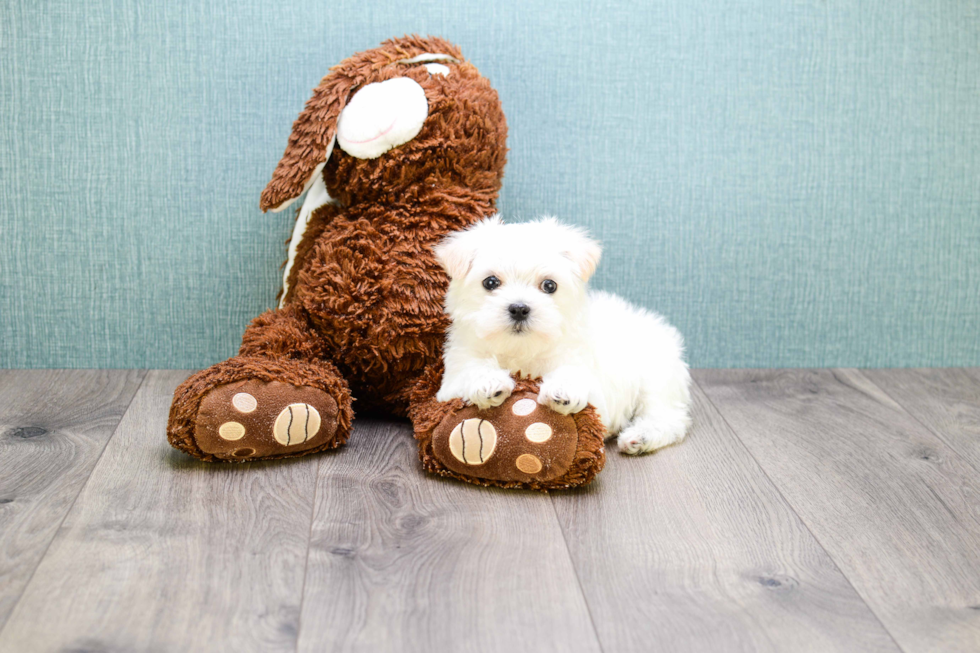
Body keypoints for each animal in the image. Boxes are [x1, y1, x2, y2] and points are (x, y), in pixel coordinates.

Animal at [432, 214, 692, 454]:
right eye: (491, 282)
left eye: (549, 285)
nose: (519, 308)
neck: (521, 350)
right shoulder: (451, 380)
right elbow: (470, 371)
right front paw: (488, 381)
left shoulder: (594, 390)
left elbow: (575, 377)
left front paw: (563, 389)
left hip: (655, 379)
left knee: (668, 417)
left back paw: (640, 437)